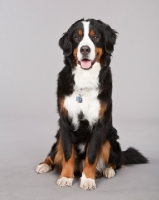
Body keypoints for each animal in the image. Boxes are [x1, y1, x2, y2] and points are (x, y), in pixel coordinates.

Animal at [36, 18, 148, 191]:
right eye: (77, 37)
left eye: (95, 37)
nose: (85, 49)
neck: (85, 80)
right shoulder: (65, 122)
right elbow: (67, 153)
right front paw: (66, 177)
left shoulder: (99, 125)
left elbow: (92, 155)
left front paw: (88, 179)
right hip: (58, 136)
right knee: (54, 154)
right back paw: (45, 164)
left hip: (110, 137)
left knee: (116, 161)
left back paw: (107, 170)